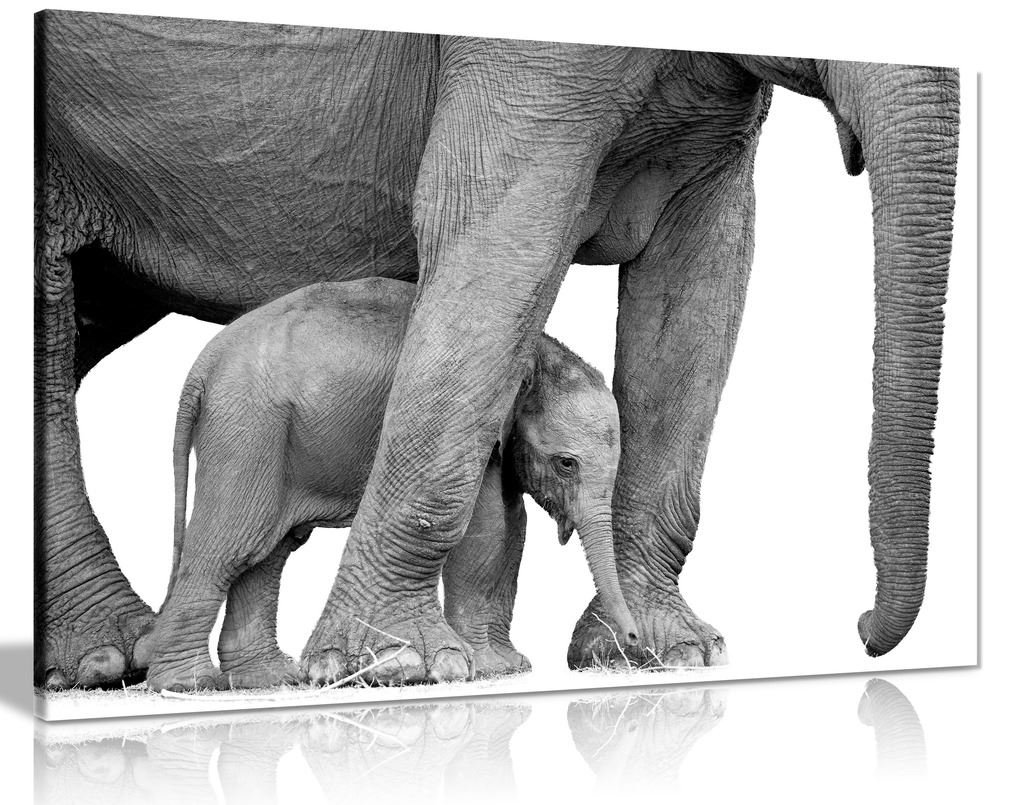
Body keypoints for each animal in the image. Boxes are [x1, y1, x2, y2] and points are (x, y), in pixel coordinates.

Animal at [140, 278, 638, 691]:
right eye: (567, 463)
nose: (632, 639)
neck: (539, 352)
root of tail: (201, 368)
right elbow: (486, 532)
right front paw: (483, 669)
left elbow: (512, 531)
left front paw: (510, 667)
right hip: (247, 429)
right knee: (233, 543)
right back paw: (189, 684)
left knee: (269, 551)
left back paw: (269, 680)